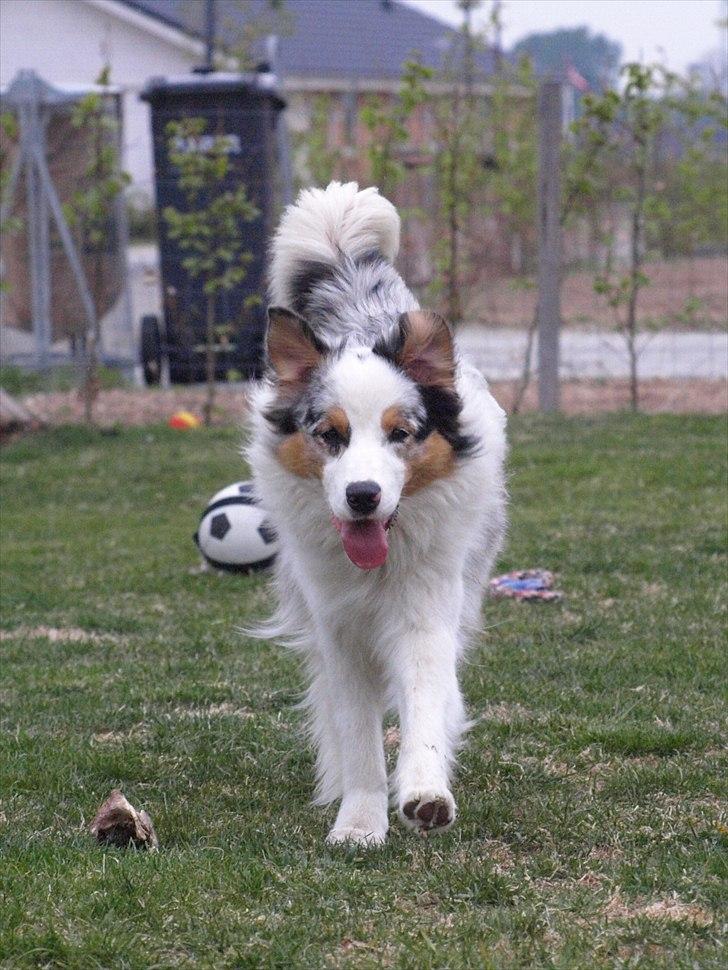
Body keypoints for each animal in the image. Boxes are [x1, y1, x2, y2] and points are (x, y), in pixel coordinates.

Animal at [246, 183, 506, 848]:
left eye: (401, 434)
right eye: (329, 434)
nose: (363, 495)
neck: (377, 569)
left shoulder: (426, 613)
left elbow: (424, 705)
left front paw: (424, 794)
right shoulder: (338, 629)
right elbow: (358, 733)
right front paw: (360, 821)